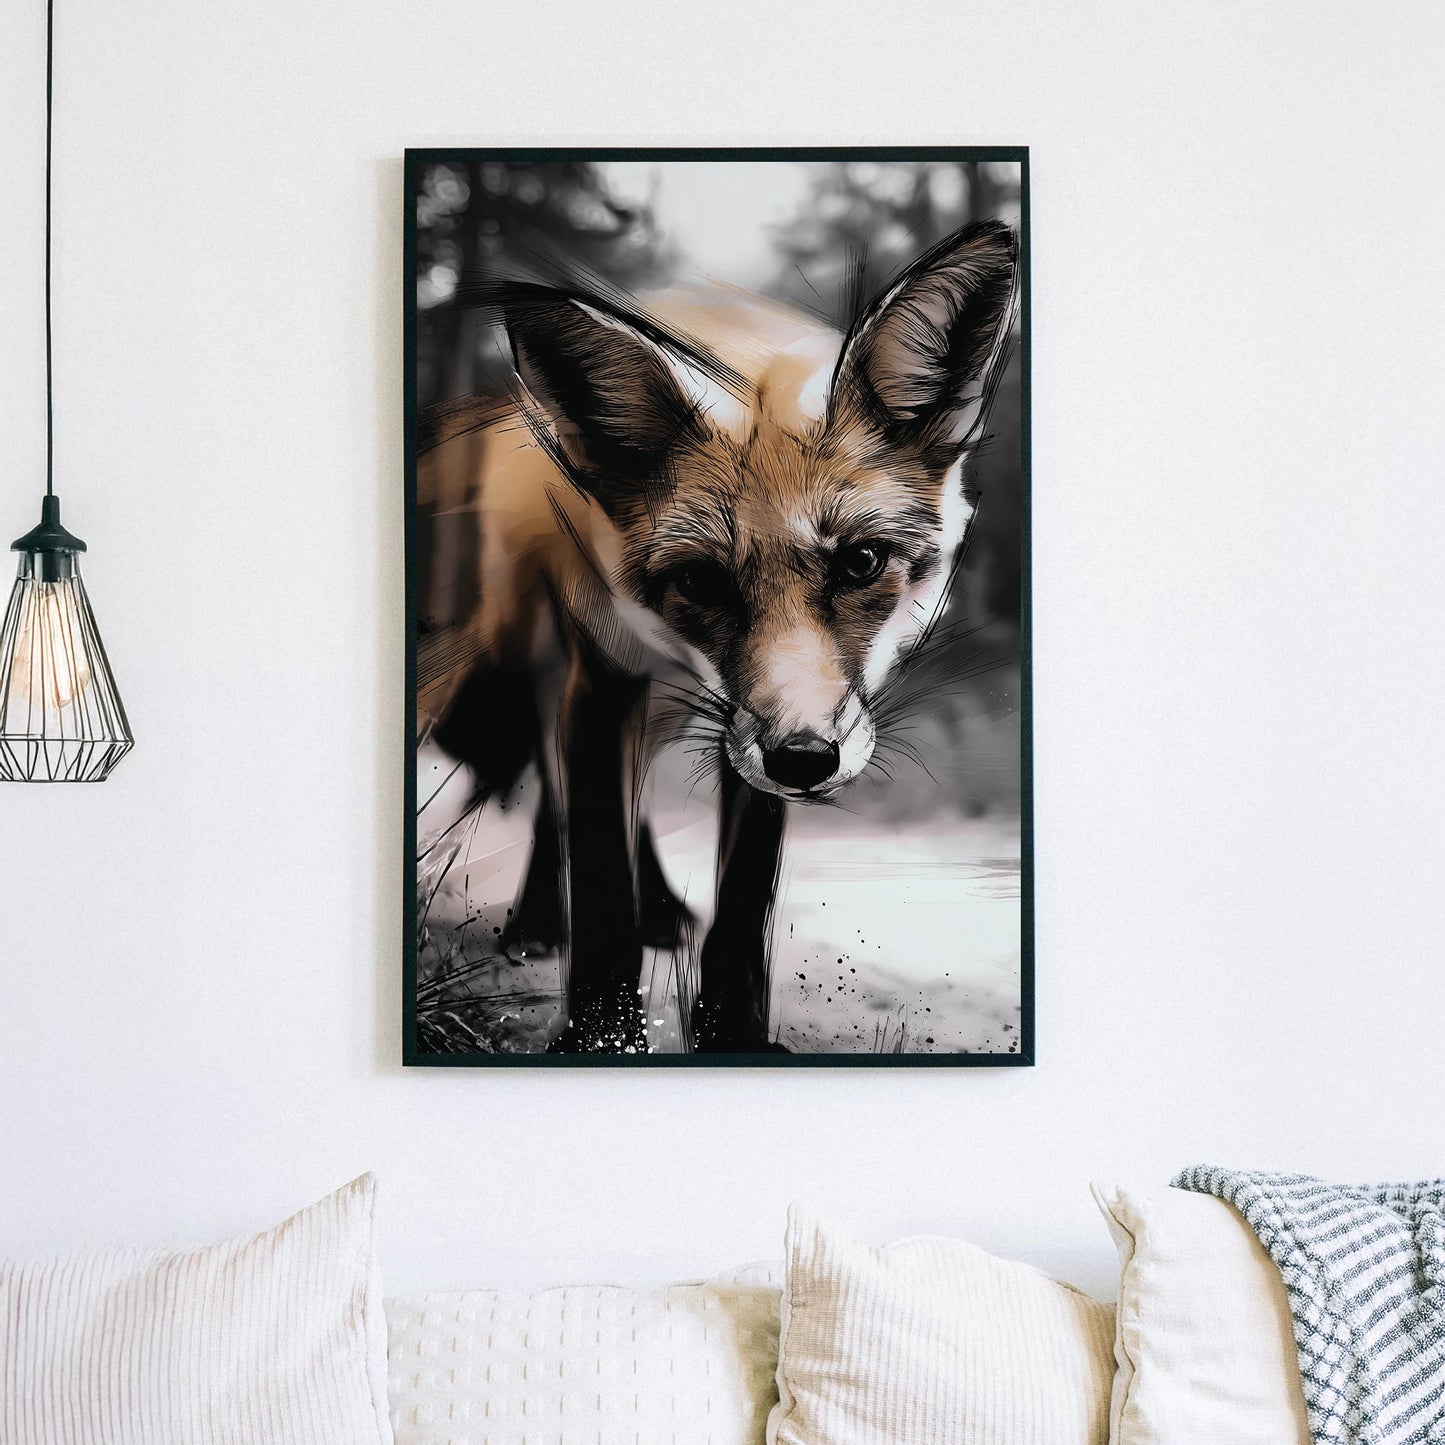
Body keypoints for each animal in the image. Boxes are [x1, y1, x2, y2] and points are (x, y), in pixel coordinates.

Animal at [424, 219, 1019, 1054]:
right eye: (701, 581)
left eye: (861, 562)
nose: (802, 759)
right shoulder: (605, 672)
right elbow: (599, 867)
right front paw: (600, 1036)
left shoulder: (755, 718)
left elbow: (742, 891)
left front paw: (732, 1027)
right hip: (543, 651)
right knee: (552, 787)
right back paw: (540, 922)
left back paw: (658, 912)